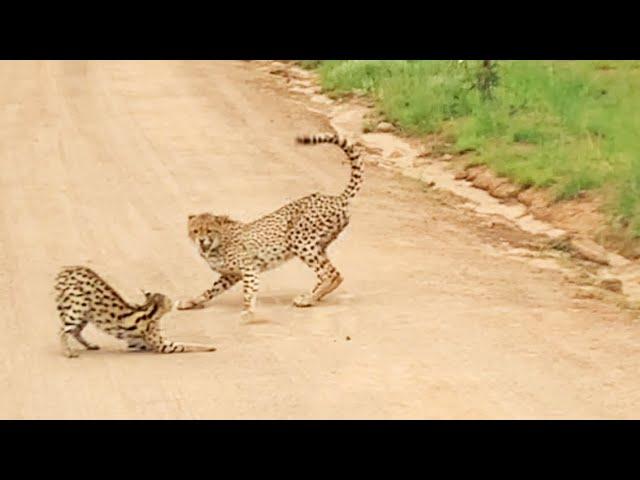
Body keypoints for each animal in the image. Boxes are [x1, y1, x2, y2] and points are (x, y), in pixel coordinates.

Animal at [55, 266, 215, 356]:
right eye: (168, 301)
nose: (172, 303)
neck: (148, 309)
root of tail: (66, 270)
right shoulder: (163, 346)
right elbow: (188, 344)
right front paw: (209, 347)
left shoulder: (137, 343)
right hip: (78, 309)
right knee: (62, 330)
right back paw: (67, 352)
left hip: (85, 314)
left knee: (75, 331)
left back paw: (89, 345)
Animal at [178, 131, 362, 320]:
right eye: (195, 231)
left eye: (209, 231)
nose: (201, 240)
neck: (218, 243)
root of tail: (336, 198)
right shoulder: (230, 275)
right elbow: (210, 291)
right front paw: (191, 302)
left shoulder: (249, 268)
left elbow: (248, 291)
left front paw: (248, 312)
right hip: (319, 245)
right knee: (327, 272)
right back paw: (311, 295)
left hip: (300, 241)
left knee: (333, 275)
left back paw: (308, 299)